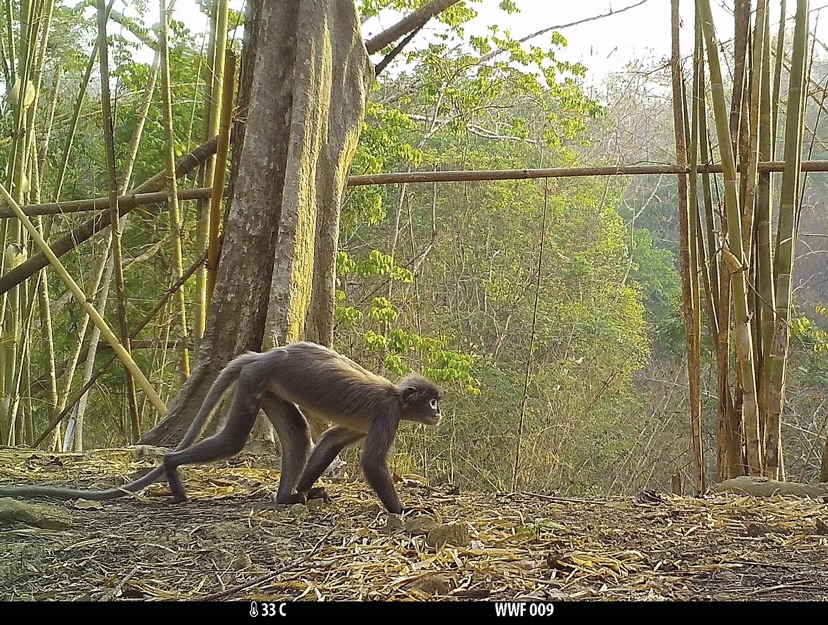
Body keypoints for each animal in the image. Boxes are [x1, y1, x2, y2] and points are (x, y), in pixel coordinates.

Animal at [0, 342, 442, 514]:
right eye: (432, 400)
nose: (438, 413)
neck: (397, 397)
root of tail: (264, 354)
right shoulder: (387, 413)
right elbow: (371, 464)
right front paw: (404, 511)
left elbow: (332, 439)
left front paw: (305, 490)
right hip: (256, 380)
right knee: (233, 440)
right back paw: (173, 467)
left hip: (264, 385)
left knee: (297, 433)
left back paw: (286, 497)